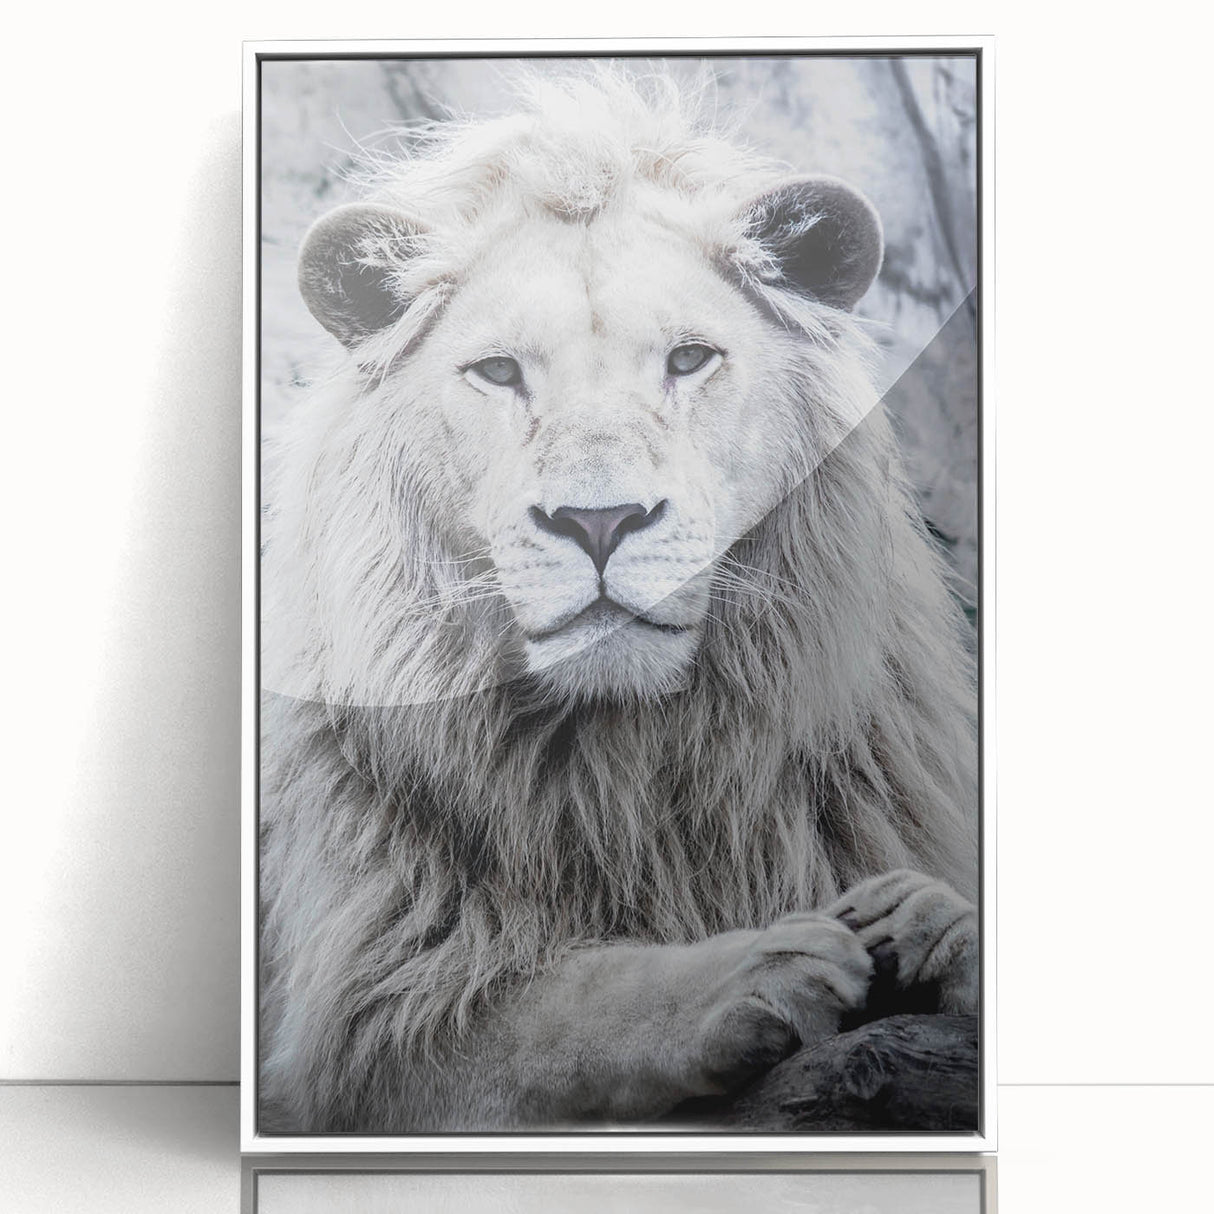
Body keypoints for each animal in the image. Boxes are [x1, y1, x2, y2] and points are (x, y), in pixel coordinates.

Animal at [259, 72, 979, 1133]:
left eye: (688, 360)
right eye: (499, 371)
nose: (599, 522)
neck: (629, 765)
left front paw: (928, 922)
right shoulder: (370, 1018)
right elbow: (566, 1005)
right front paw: (757, 968)